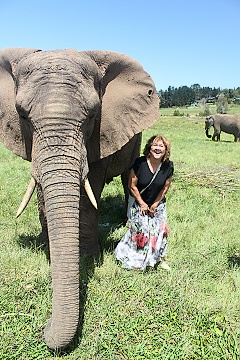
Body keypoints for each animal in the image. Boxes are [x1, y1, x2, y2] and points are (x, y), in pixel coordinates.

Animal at [0, 47, 160, 348]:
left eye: (92, 115)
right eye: (22, 115)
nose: (45, 328)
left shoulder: (100, 134)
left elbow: (90, 192)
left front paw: (85, 255)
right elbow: (42, 189)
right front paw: (47, 247)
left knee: (128, 176)